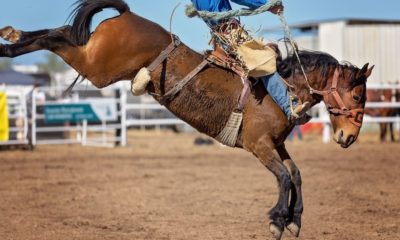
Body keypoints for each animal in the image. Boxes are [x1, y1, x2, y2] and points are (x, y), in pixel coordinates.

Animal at [0, 0, 376, 238]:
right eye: (359, 96)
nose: (348, 137)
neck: (283, 88)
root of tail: (128, 14)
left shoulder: (276, 144)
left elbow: (295, 174)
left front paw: (294, 221)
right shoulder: (259, 145)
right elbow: (284, 178)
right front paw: (277, 219)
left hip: (94, 58)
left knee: (63, 33)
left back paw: (12, 37)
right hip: (97, 67)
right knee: (58, 40)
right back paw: (11, 43)